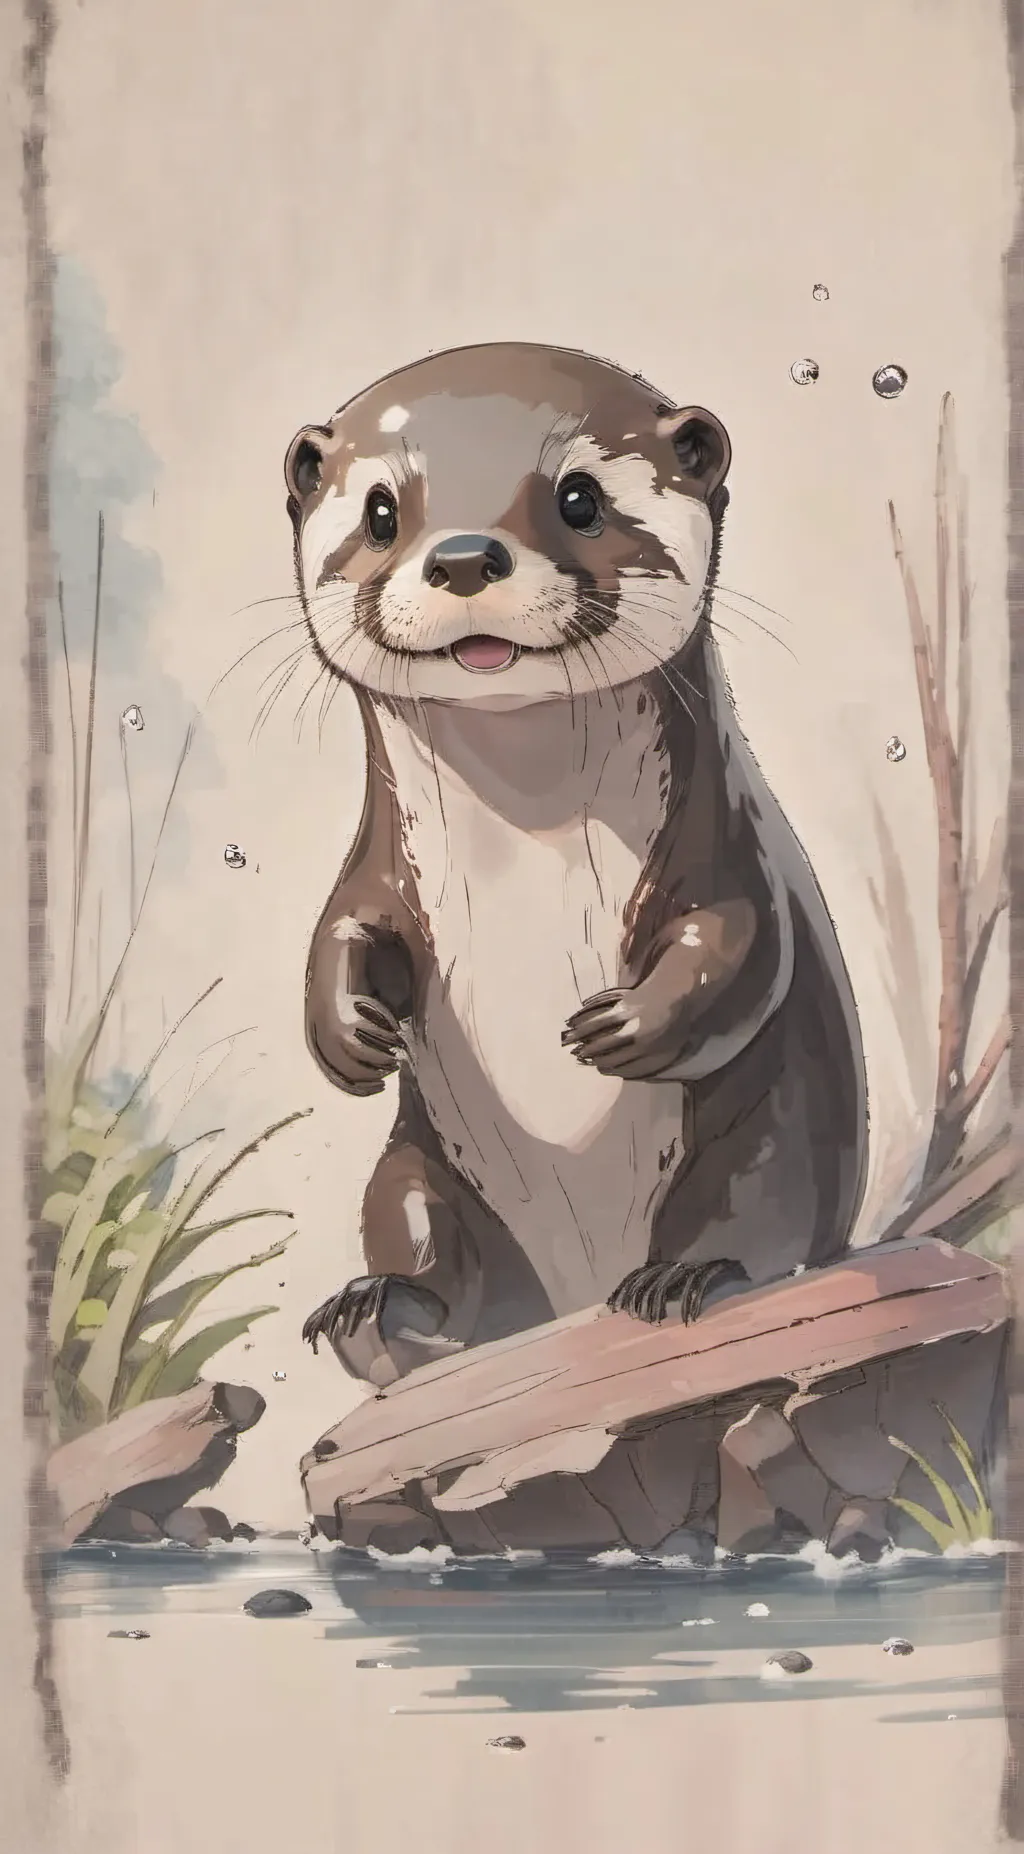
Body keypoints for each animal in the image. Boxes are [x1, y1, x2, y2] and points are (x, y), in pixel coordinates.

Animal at [284, 341, 868, 1390]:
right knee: (421, 1241)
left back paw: (682, 1279)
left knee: (760, 1215)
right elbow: (342, 930)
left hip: (772, 1124)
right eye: (381, 511)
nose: (464, 556)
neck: (524, 847)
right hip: (419, 1166)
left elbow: (741, 945)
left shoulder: (725, 845)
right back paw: (377, 1308)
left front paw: (624, 1026)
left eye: (580, 497)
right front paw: (349, 1035)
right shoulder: (380, 871)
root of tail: (569, 1297)